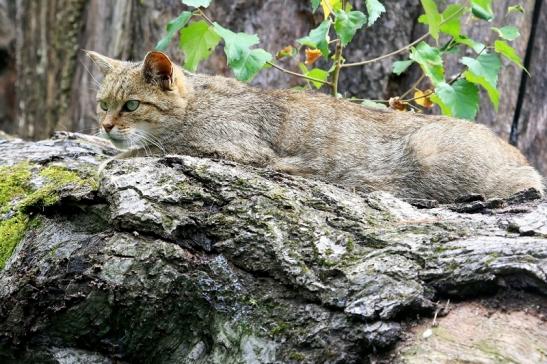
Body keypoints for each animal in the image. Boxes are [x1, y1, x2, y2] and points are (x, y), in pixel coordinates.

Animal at [88, 50, 544, 205]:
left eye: (131, 105)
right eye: (103, 105)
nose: (106, 126)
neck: (197, 103)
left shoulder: (232, 148)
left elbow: (153, 149)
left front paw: (113, 158)